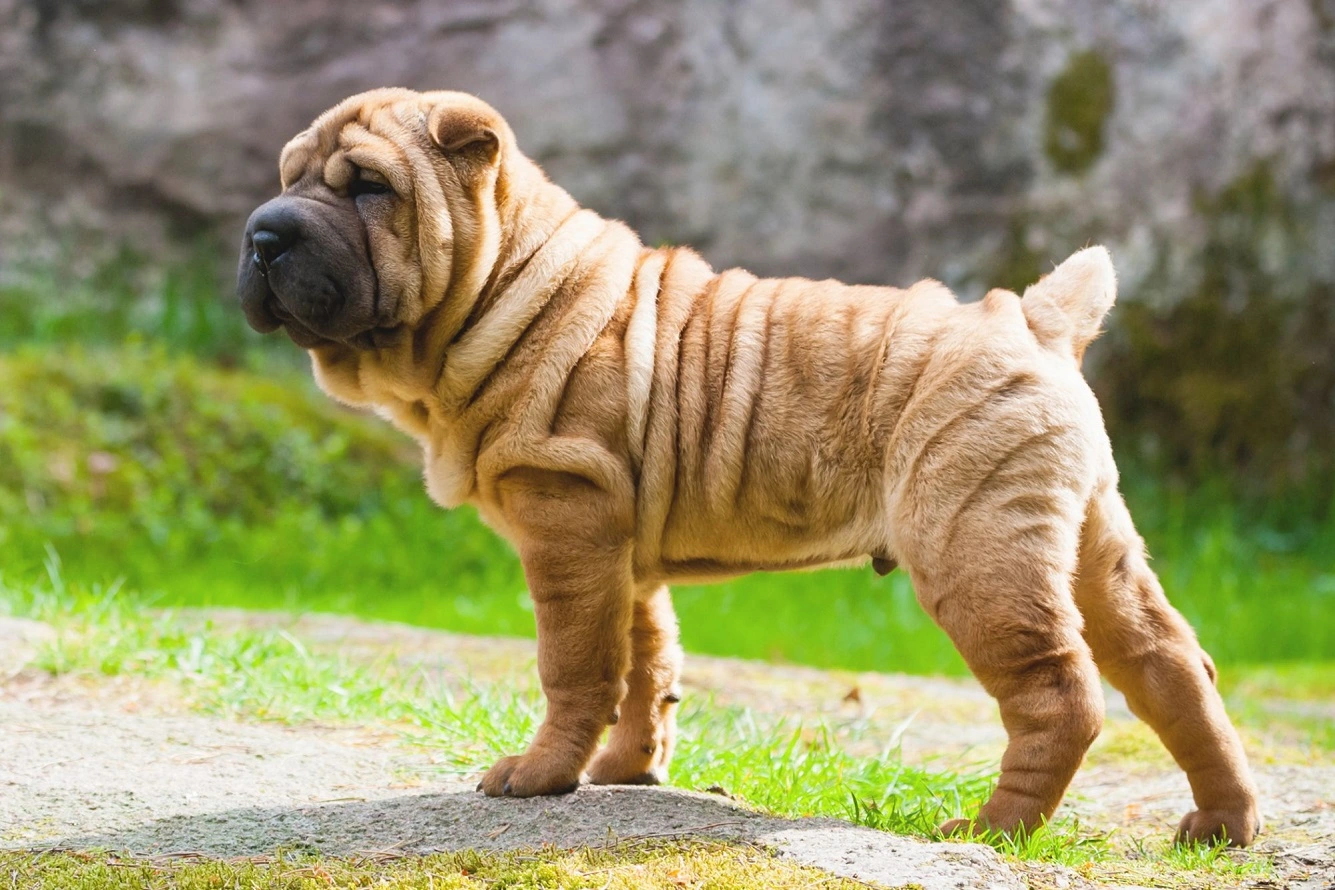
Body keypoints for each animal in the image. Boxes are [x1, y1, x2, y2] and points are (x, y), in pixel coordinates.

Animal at [237, 86, 1260, 848]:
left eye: (369, 187)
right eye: (286, 178)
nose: (261, 233)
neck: (505, 287)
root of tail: (1034, 318)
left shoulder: (565, 519)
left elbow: (573, 666)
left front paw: (540, 777)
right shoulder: (619, 546)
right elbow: (646, 663)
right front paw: (628, 771)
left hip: (975, 544)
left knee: (1059, 691)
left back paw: (990, 829)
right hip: (1088, 537)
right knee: (1172, 666)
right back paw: (1219, 824)